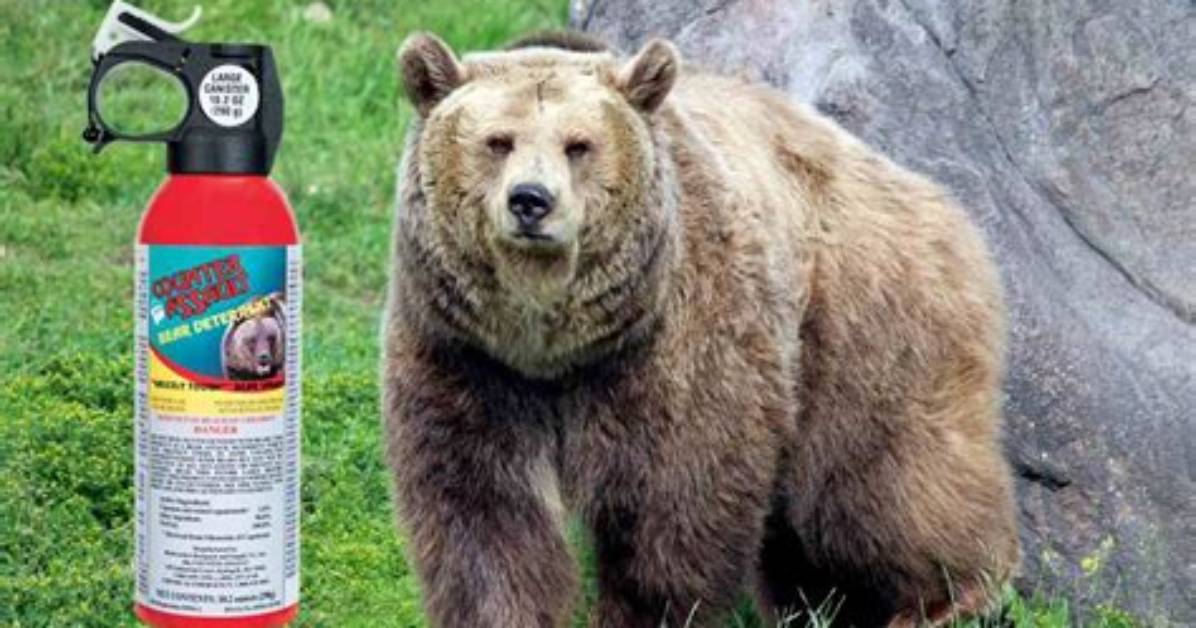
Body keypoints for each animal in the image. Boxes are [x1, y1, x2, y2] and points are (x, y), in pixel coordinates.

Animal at [382, 30, 1020, 628]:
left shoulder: (677, 340)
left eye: (579, 145)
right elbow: (482, 511)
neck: (553, 347)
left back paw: (951, 597)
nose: (531, 201)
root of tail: (938, 199)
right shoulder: (466, 356)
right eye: (498, 141)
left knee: (880, 483)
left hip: (865, 319)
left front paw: (646, 611)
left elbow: (677, 494)